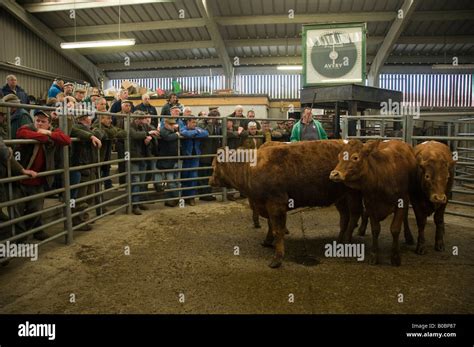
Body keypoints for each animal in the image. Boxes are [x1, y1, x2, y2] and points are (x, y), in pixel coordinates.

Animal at [209, 141, 362, 270]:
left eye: (213, 165)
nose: (210, 180)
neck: (250, 168)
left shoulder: (277, 203)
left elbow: (278, 230)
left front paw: (277, 259)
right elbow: (271, 225)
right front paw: (267, 241)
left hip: (353, 194)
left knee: (354, 215)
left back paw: (347, 241)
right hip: (341, 198)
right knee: (345, 217)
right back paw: (340, 240)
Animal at [328, 140, 416, 268]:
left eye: (355, 157)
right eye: (339, 156)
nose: (334, 174)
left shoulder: (402, 201)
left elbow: (395, 229)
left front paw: (395, 257)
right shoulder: (370, 204)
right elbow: (375, 229)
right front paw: (374, 255)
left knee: (405, 218)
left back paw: (409, 237)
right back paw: (361, 229)